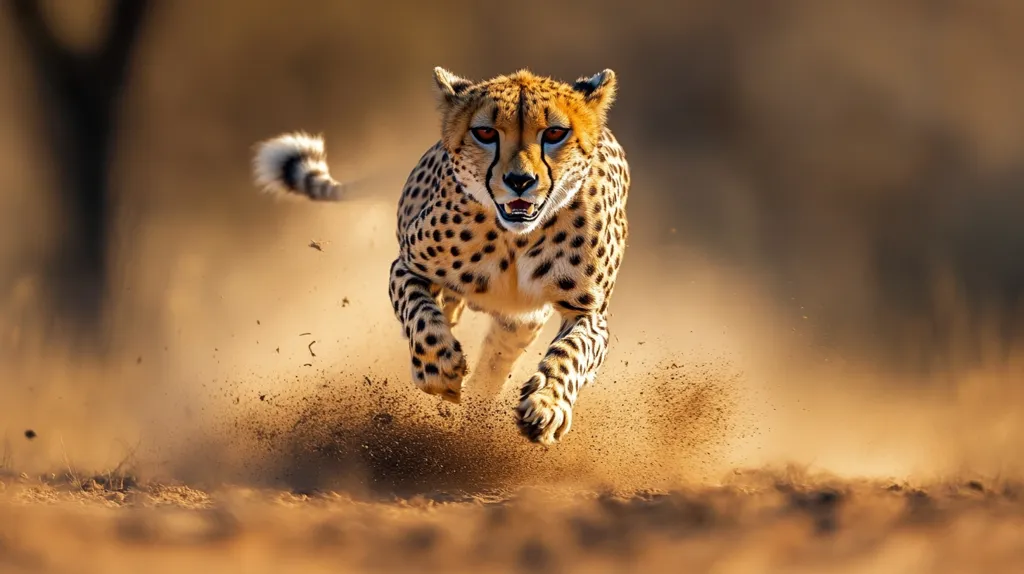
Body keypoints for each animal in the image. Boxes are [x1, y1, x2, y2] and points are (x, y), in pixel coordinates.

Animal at [251, 67, 630, 445]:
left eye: (554, 133)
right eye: (485, 133)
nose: (520, 181)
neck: (515, 239)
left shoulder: (588, 311)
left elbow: (572, 352)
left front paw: (546, 404)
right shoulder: (406, 267)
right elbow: (420, 315)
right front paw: (439, 369)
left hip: (520, 321)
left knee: (497, 360)